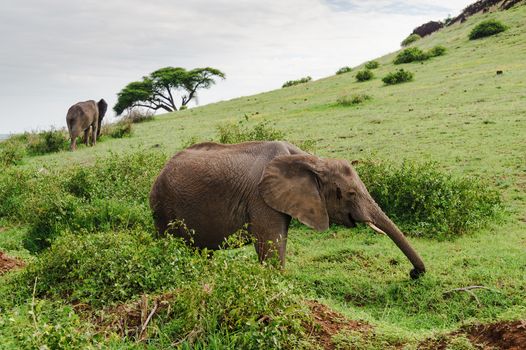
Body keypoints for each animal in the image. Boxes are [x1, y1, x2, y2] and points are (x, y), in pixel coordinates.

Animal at [150, 139, 428, 278]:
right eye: (350, 194)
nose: (414, 273)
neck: (311, 159)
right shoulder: (260, 197)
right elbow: (271, 250)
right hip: (163, 208)